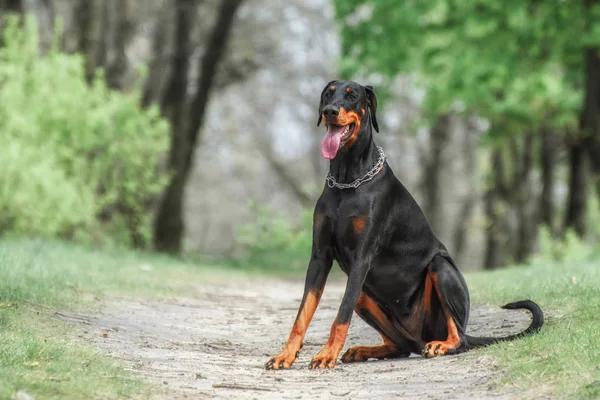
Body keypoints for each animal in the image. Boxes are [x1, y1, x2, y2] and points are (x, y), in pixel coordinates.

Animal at [264, 79, 540, 370]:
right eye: (328, 94)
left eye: (352, 96)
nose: (329, 111)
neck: (347, 181)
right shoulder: (320, 256)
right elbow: (303, 312)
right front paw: (286, 355)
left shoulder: (362, 258)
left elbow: (341, 315)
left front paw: (327, 354)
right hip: (367, 298)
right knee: (403, 346)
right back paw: (364, 350)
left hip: (440, 269)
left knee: (459, 339)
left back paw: (441, 345)